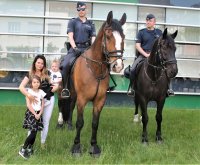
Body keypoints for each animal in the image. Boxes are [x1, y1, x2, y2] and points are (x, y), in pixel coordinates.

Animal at [65, 11, 126, 156]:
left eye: (123, 37)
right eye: (108, 36)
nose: (118, 66)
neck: (95, 68)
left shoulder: (100, 100)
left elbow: (95, 123)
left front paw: (94, 147)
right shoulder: (82, 99)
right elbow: (80, 122)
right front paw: (76, 147)